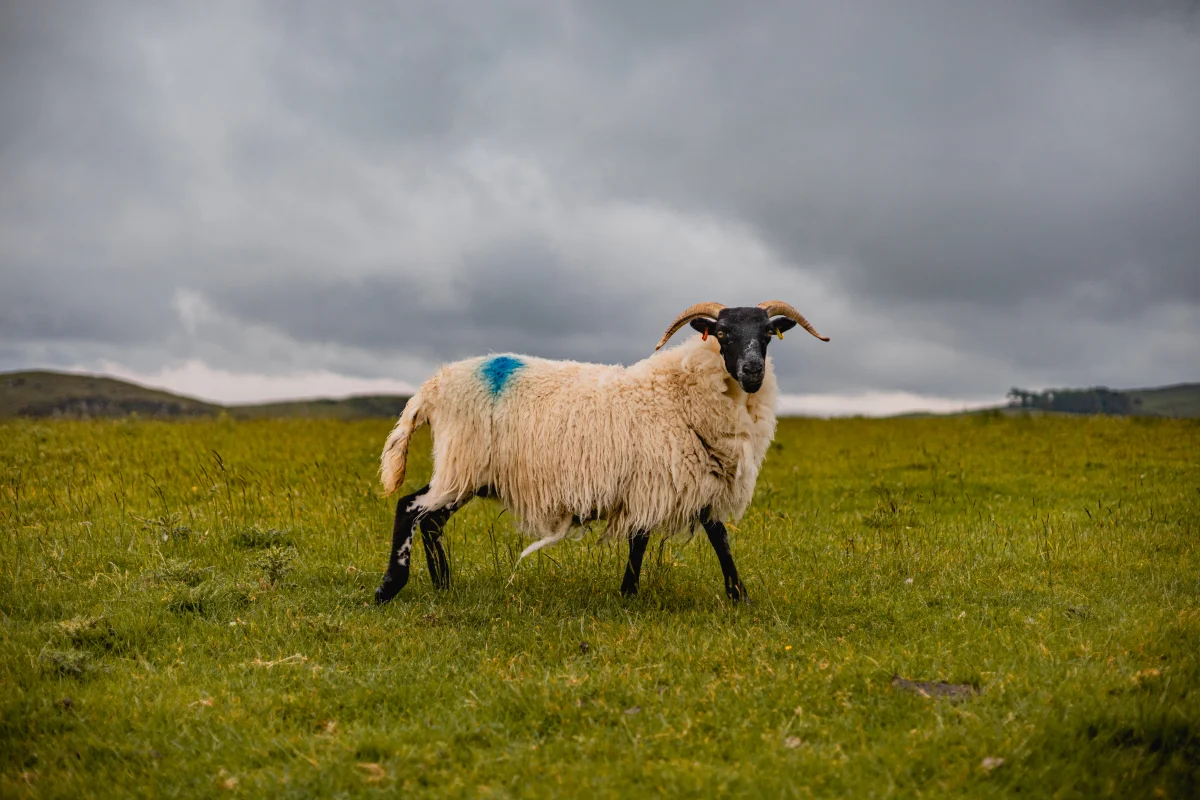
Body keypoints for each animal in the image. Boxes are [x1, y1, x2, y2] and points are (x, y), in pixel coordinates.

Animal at [374, 300, 829, 604]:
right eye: (721, 334)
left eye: (766, 334)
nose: (753, 370)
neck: (678, 393)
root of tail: (433, 386)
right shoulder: (657, 478)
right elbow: (647, 539)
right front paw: (631, 593)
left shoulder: (687, 479)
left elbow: (713, 537)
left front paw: (737, 595)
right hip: (461, 463)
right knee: (410, 508)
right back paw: (389, 587)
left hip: (467, 474)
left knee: (431, 521)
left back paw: (443, 585)